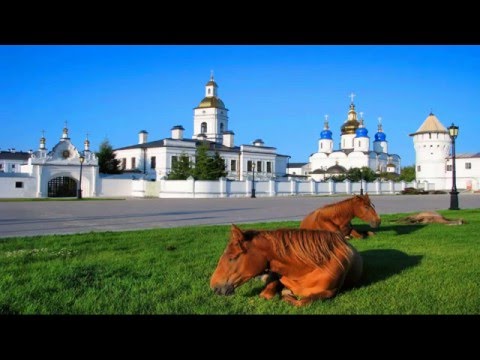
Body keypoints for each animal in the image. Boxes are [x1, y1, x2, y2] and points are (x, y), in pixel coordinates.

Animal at [210, 225, 364, 306]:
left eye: (232, 258)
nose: (213, 286)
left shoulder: (330, 292)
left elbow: (302, 302)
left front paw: (286, 295)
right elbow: (266, 293)